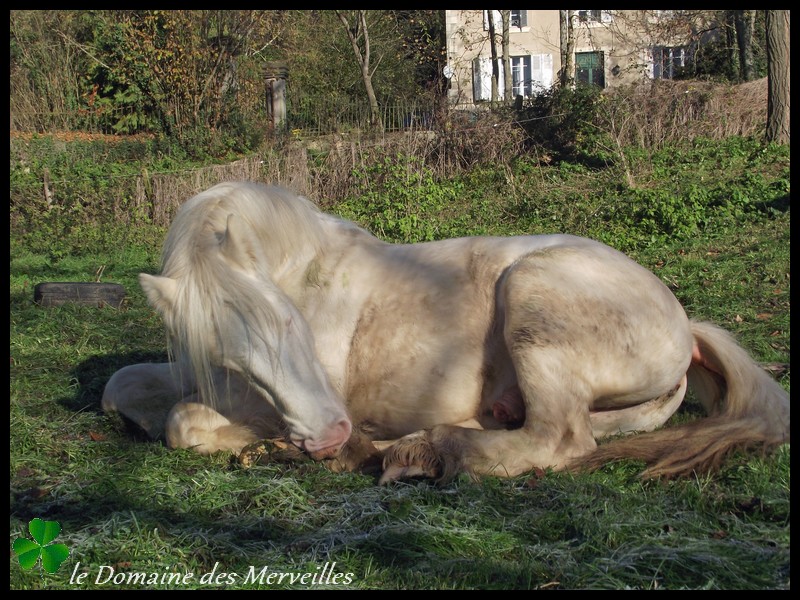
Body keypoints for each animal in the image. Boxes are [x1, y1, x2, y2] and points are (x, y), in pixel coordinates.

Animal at [103, 182, 792, 482]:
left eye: (291, 321)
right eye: (228, 359)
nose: (330, 436)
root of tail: (683, 324)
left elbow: (183, 423)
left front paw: (250, 441)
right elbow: (122, 387)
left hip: (534, 295)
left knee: (557, 442)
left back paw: (423, 451)